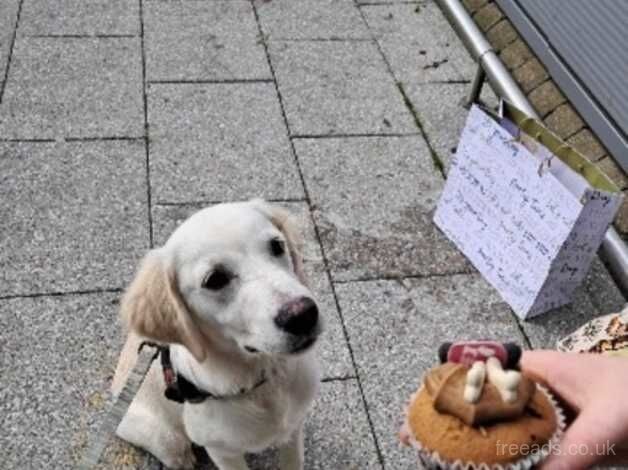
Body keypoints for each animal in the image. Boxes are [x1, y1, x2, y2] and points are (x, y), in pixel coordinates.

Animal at [110, 199, 322, 470]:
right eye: (215, 279)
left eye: (277, 245)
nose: (303, 315)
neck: (261, 382)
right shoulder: (223, 452)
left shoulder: (294, 429)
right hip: (163, 436)